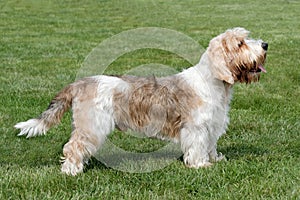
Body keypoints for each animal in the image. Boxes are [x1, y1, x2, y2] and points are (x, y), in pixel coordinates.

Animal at [14, 27, 268, 175]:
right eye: (240, 44)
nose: (265, 45)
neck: (213, 81)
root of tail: (81, 83)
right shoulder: (196, 127)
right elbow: (197, 146)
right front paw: (200, 165)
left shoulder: (212, 125)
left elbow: (210, 145)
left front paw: (215, 159)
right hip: (93, 126)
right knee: (73, 146)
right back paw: (71, 171)